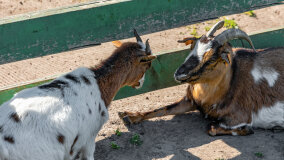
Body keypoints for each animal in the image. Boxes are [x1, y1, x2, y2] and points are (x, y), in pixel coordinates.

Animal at [118, 21, 284, 136]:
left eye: (211, 59)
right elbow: (163, 108)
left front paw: (247, 129)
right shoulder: (190, 100)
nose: (179, 74)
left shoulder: (240, 116)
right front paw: (128, 116)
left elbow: (211, 128)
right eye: (192, 48)